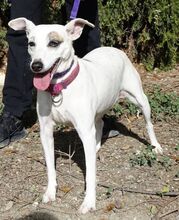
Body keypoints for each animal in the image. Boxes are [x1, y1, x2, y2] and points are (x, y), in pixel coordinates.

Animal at [8, 18, 162, 214]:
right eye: (31, 44)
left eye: (54, 43)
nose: (36, 65)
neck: (59, 87)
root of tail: (114, 49)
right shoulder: (46, 132)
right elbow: (50, 167)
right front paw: (50, 192)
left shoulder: (83, 128)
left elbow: (90, 174)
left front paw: (89, 202)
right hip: (98, 109)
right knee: (100, 124)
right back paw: (95, 146)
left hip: (139, 99)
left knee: (148, 123)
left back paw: (156, 146)